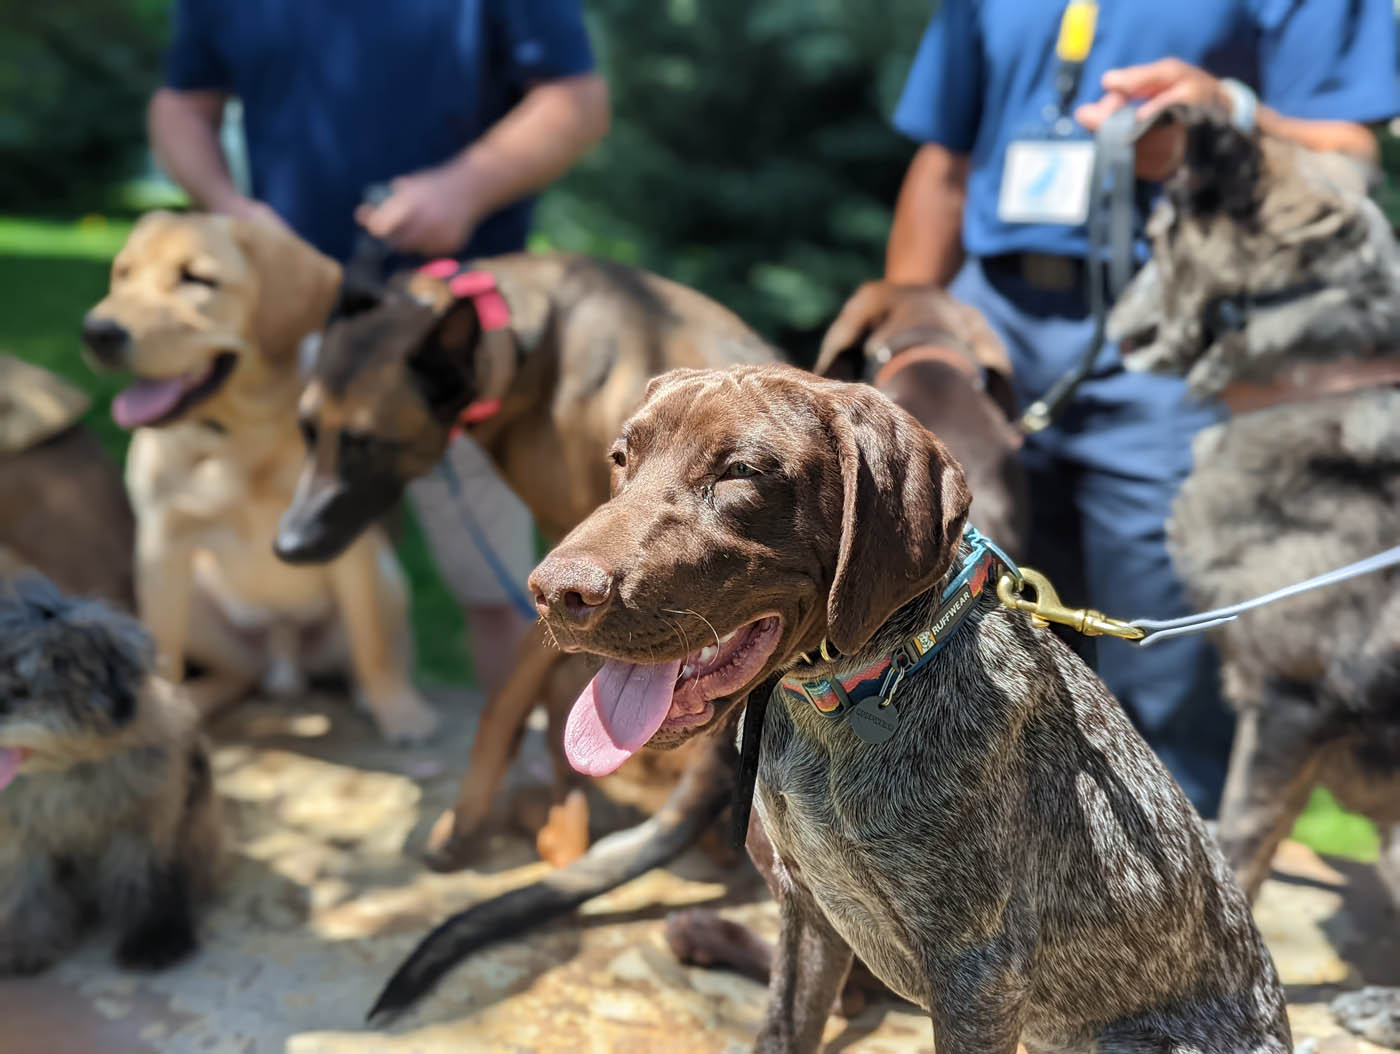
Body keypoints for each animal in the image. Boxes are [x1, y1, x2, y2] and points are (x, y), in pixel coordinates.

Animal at [0, 571, 219, 974]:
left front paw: (154, 937)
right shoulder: (19, 837)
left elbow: (148, 879)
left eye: (23, 688)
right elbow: (23, 886)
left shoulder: (147, 826)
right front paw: (22, 944)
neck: (67, 769)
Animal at [83, 211, 431, 739]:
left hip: (389, 581)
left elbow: (370, 642)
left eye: (197, 279)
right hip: (195, 602)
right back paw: (194, 702)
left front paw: (399, 711)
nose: (99, 332)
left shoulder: (348, 537)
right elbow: (162, 656)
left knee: (370, 650)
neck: (238, 437)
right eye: (123, 274)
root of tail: (283, 651)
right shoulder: (162, 545)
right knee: (234, 675)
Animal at [273, 250, 778, 867]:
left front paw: (461, 822)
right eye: (306, 430)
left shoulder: (567, 570)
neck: (530, 344)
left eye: (368, 445)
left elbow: (501, 702)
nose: (287, 545)